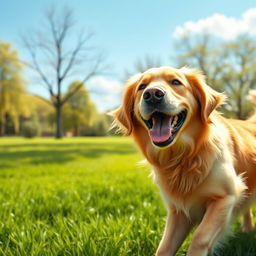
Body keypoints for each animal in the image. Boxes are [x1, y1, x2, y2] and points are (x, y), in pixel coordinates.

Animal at [111, 66, 256, 256]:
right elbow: (164, 247)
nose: (152, 94)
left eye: (176, 82)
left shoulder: (226, 197)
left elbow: (200, 237)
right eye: (142, 86)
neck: (184, 158)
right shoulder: (178, 211)